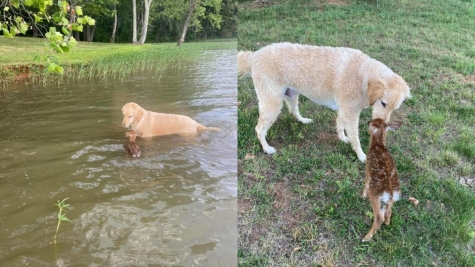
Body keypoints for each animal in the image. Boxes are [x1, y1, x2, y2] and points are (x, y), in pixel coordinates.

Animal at [240, 43, 410, 162]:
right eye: (383, 103)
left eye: (394, 108)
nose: (383, 127)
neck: (363, 74)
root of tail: (253, 55)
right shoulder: (350, 114)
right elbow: (355, 138)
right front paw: (361, 155)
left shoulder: (344, 110)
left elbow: (340, 125)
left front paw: (343, 138)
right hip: (272, 103)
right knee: (259, 129)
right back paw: (267, 148)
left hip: (291, 94)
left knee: (293, 111)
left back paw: (303, 120)